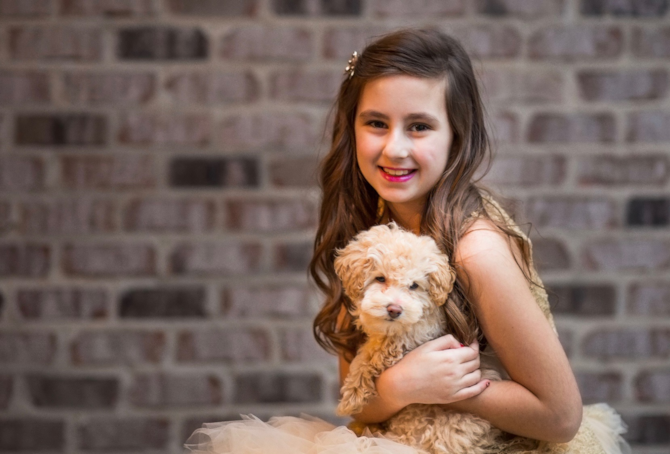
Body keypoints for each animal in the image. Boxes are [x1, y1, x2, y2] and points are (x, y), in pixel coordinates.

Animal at [336, 223, 504, 454]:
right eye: (380, 278)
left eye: (414, 285)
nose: (395, 310)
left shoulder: (415, 334)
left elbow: (373, 353)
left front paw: (351, 397)